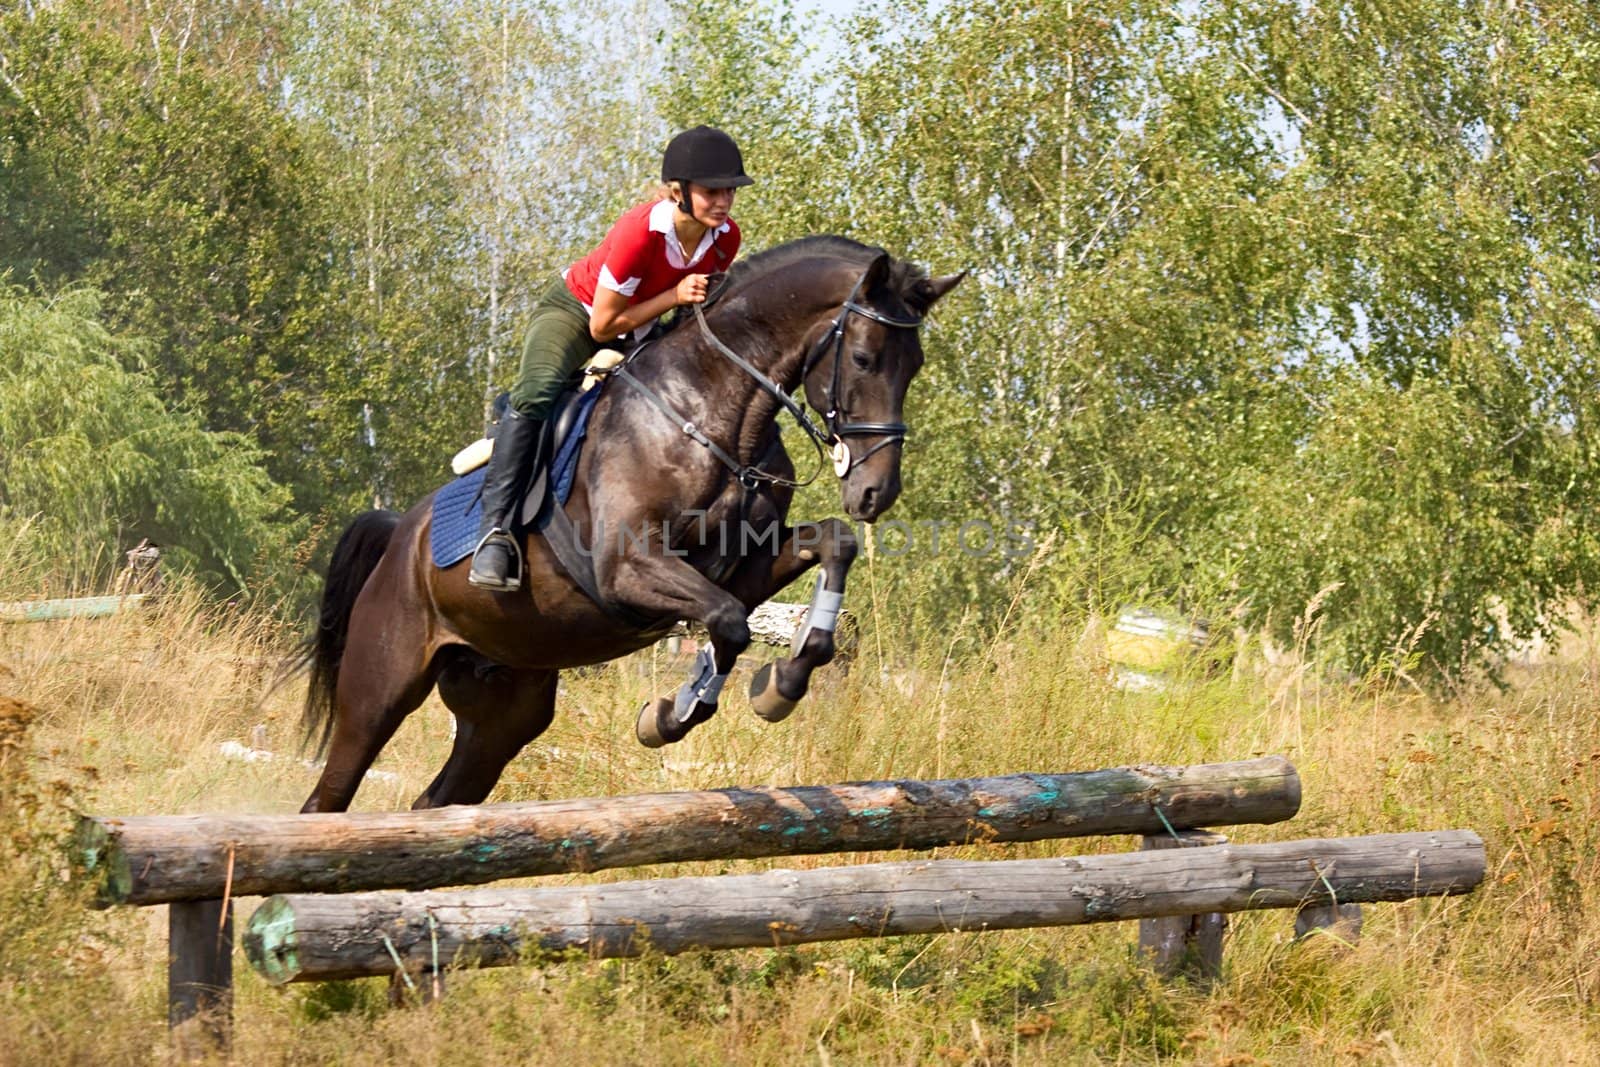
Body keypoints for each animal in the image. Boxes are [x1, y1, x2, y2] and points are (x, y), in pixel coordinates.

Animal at [297, 238, 960, 812]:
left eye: (916, 366)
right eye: (865, 359)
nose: (875, 492)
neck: (712, 411)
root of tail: (398, 539)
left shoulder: (741, 564)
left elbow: (825, 551)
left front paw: (783, 683)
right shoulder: (628, 571)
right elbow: (729, 623)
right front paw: (671, 716)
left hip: (506, 702)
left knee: (440, 798)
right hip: (381, 688)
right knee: (329, 795)